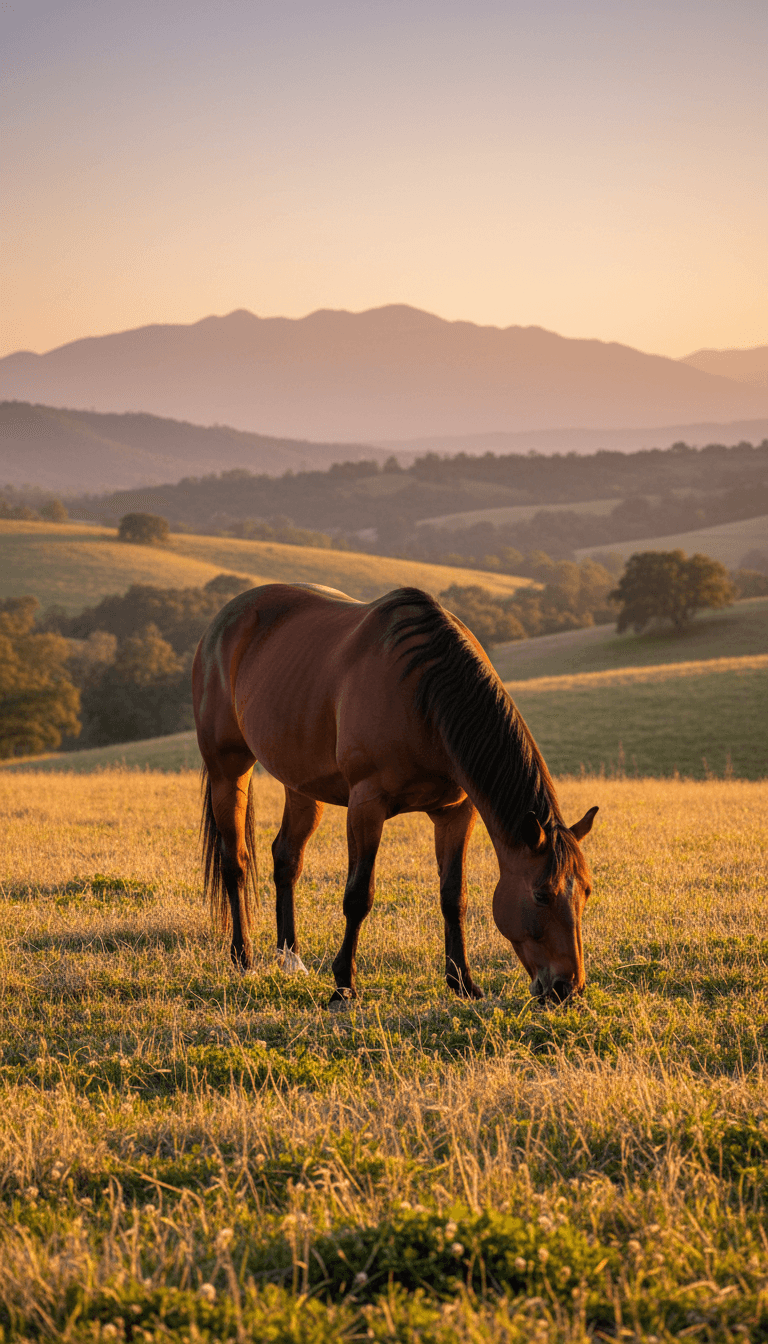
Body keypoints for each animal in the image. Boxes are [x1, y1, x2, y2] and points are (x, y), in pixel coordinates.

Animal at [192, 582, 598, 1008]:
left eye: (586, 892)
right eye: (541, 895)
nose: (567, 987)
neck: (424, 696)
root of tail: (223, 622)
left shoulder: (456, 813)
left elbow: (454, 897)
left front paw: (462, 982)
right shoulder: (366, 806)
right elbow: (358, 896)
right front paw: (343, 985)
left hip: (302, 786)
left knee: (286, 858)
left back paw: (290, 959)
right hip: (228, 770)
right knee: (235, 863)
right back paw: (243, 958)